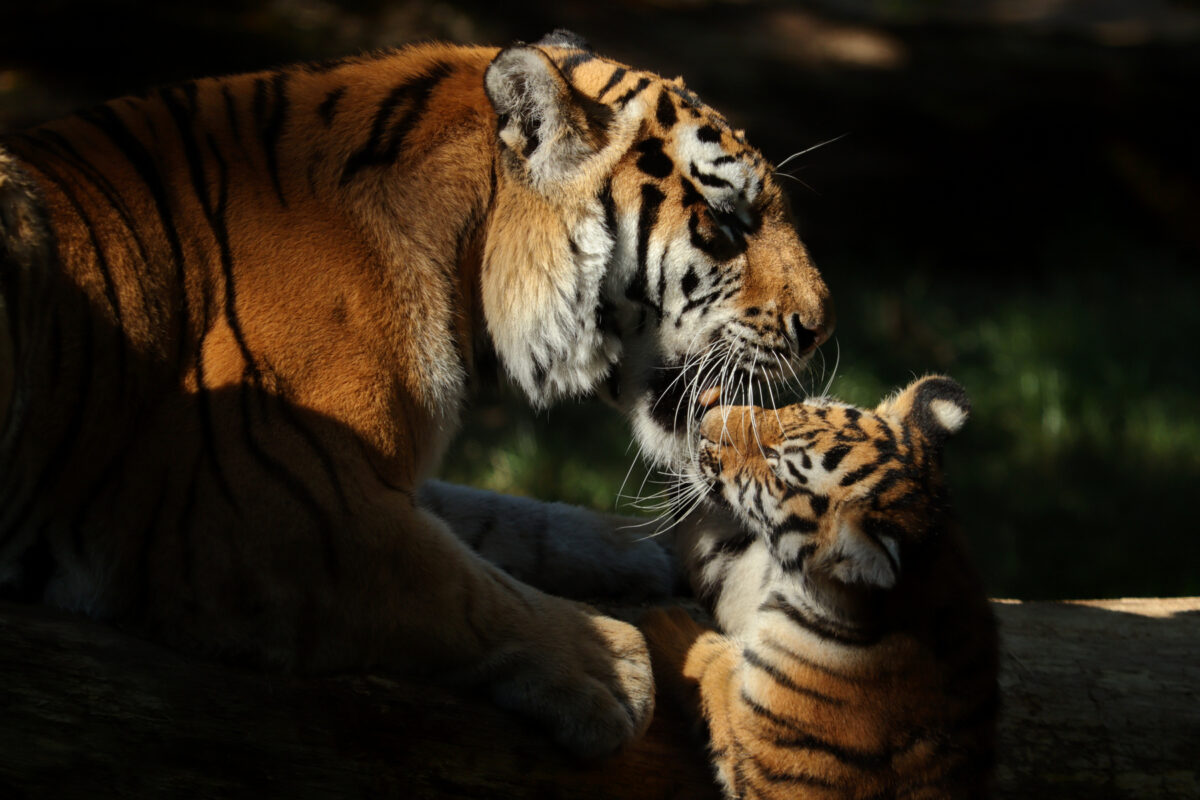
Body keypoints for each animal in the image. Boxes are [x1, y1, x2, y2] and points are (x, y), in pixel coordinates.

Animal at [0, 31, 835, 758]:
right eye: (726, 222)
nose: (819, 329)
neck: (461, 256)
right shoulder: (255, 501)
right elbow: (459, 582)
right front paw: (613, 668)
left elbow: (492, 517)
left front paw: (635, 548)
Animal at [643, 376, 998, 800]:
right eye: (790, 408)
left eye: (776, 466)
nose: (707, 417)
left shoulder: (758, 737)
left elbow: (709, 662)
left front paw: (665, 622)